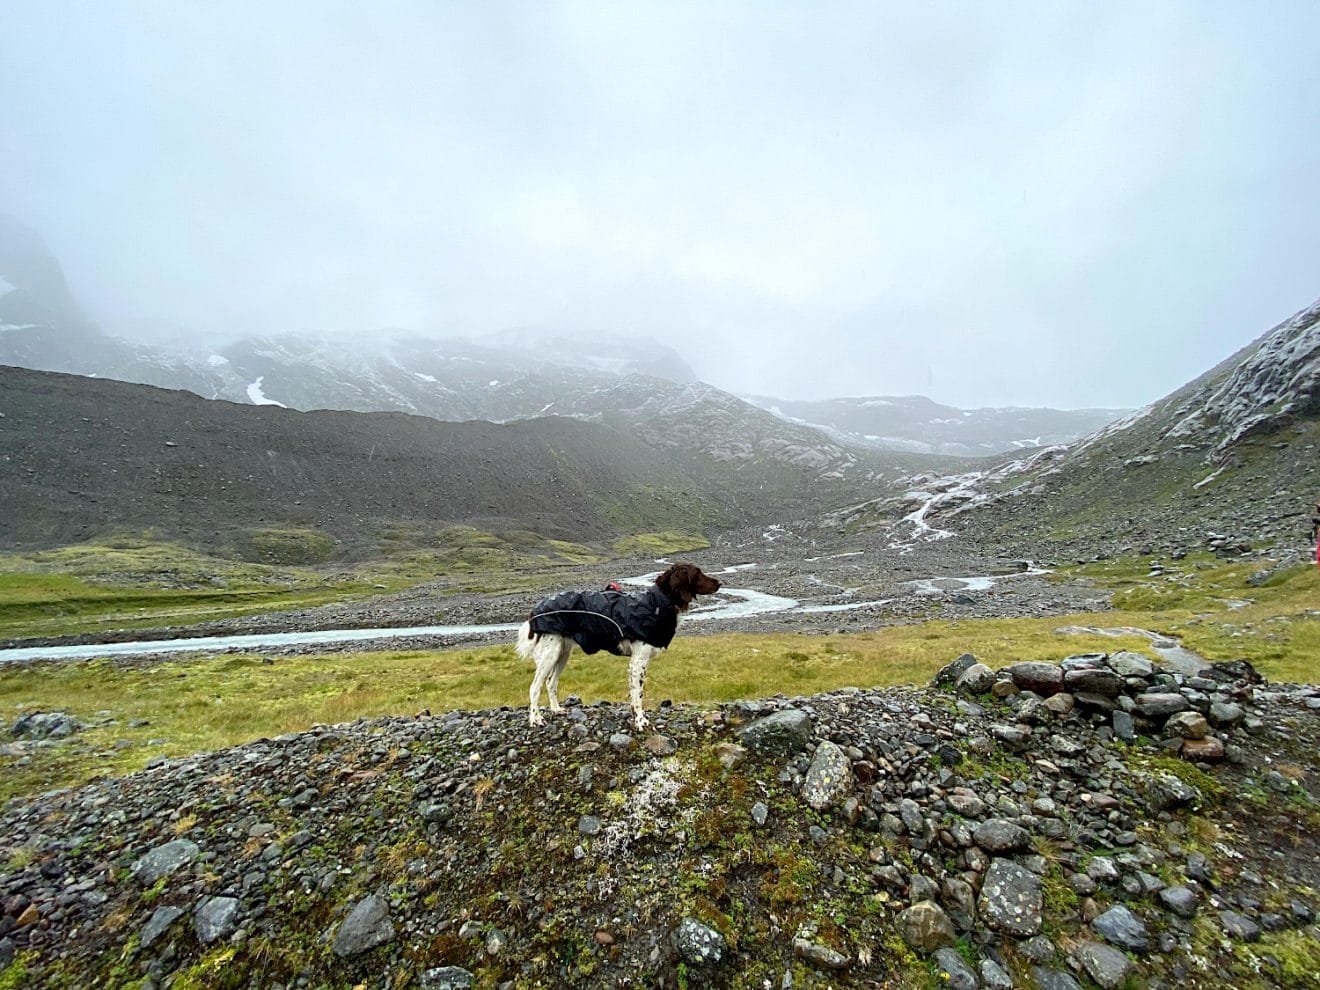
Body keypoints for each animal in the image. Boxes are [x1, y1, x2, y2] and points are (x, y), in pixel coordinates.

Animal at [514, 562, 723, 733]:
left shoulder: (635, 663)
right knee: (534, 687)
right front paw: (640, 722)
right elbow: (638, 694)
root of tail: (535, 610)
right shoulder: (639, 661)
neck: (657, 603)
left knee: (551, 683)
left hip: (562, 652)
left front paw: (636, 718)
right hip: (550, 653)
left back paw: (556, 709)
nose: (720, 582)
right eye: (698, 573)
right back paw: (536, 719)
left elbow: (633, 695)